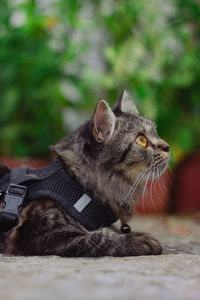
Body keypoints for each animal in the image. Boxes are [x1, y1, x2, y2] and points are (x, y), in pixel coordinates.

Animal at [0, 91, 170, 255]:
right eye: (141, 140)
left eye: (155, 132)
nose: (167, 147)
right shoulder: (48, 232)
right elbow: (100, 238)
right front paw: (141, 240)